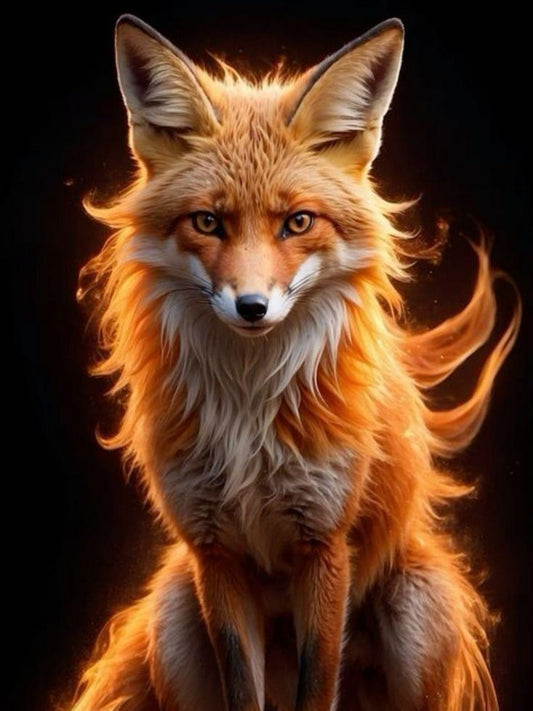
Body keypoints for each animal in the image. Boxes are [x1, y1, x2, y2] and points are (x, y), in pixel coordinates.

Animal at [71, 14, 521, 711]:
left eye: (298, 222)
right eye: (208, 222)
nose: (252, 307)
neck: (249, 410)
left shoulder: (325, 546)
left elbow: (317, 686)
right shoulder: (214, 551)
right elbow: (242, 692)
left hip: (417, 614)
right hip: (175, 617)